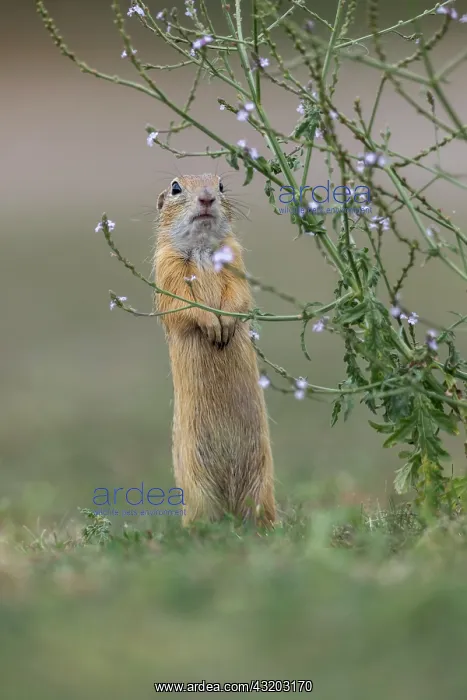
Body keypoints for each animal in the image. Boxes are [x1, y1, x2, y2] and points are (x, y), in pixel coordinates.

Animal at [153, 173, 276, 528]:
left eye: (221, 185)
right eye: (176, 187)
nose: (207, 197)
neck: (203, 250)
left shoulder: (235, 258)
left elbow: (238, 293)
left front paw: (226, 324)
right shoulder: (167, 267)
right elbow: (182, 302)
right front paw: (212, 325)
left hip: (263, 483)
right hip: (196, 491)